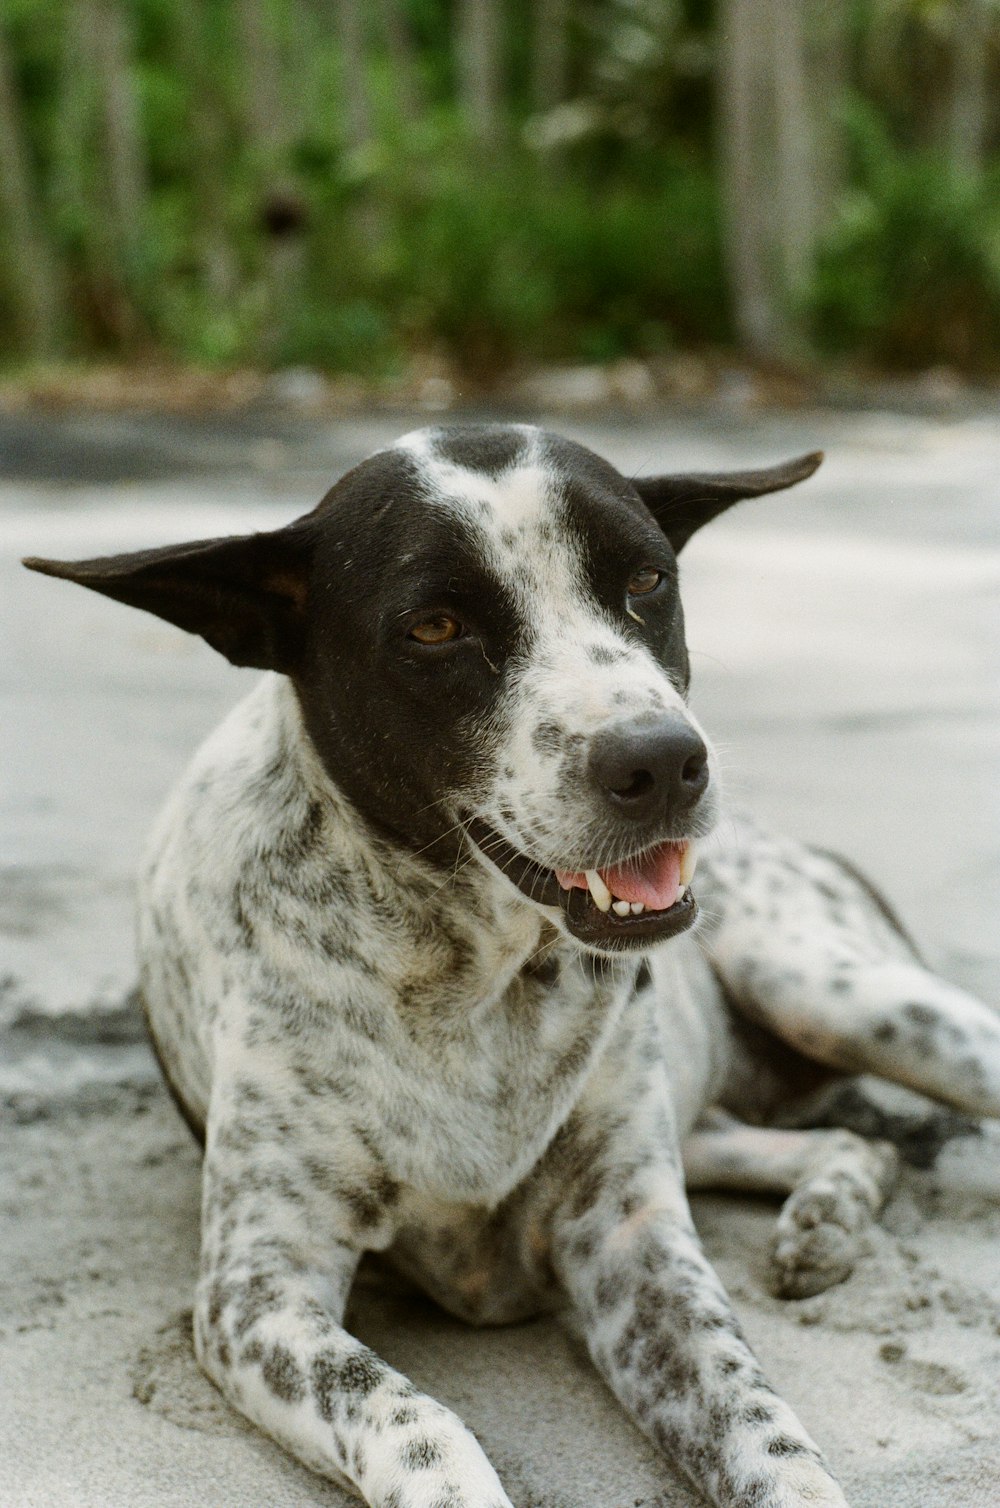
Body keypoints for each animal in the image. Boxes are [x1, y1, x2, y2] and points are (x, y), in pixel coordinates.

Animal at [23, 428, 1000, 1508]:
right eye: (435, 626)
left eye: (646, 580)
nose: (665, 762)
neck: (470, 977)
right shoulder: (255, 1295)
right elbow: (417, 1418)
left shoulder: (633, 1243)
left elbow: (757, 1420)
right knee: (844, 1139)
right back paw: (825, 1214)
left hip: (843, 996)